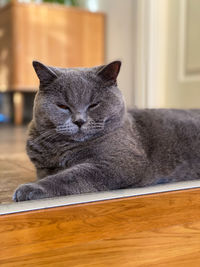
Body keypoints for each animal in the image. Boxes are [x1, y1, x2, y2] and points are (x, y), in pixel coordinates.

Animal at [12, 60, 200, 202]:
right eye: (63, 106)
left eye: (94, 104)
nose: (79, 121)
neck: (64, 148)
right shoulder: (43, 167)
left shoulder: (120, 161)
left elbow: (72, 175)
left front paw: (29, 189)